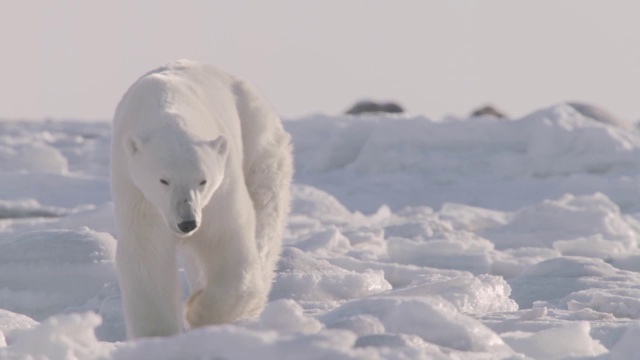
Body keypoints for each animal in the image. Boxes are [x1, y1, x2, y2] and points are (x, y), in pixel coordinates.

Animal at [110, 59, 292, 338]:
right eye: (163, 180)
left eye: (202, 180)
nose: (187, 223)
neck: (168, 105)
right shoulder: (138, 194)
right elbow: (147, 252)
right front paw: (157, 335)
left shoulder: (221, 188)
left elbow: (226, 240)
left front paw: (197, 311)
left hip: (259, 142)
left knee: (265, 214)